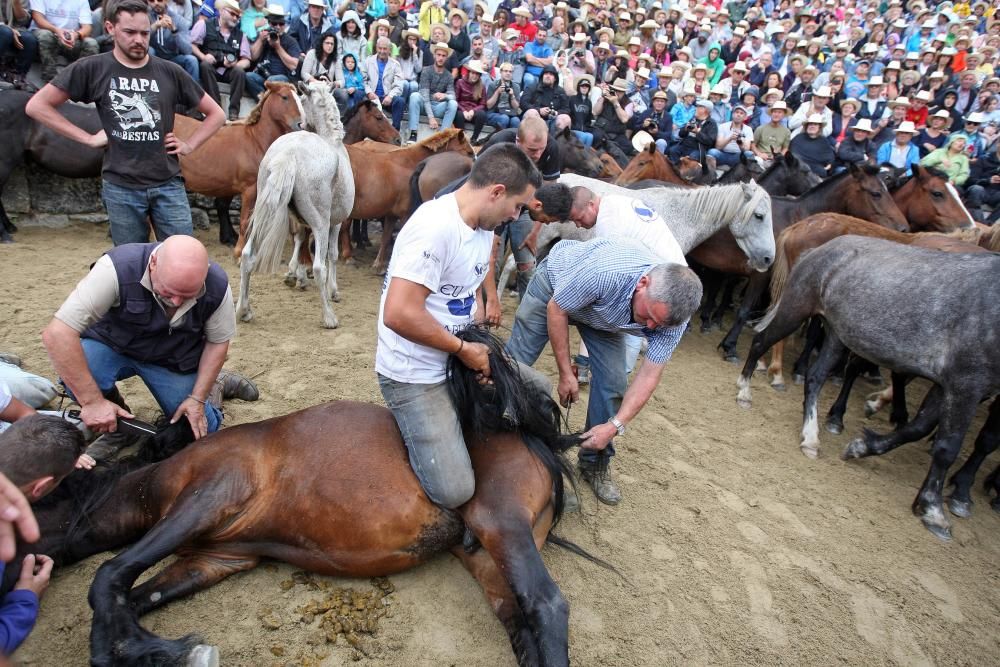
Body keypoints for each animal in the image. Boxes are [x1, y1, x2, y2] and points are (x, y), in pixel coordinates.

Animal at [23, 328, 596, 667]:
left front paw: (132, 648)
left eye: (36, 502)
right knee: (522, 622)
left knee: (546, 606)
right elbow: (136, 596)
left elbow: (108, 578)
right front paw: (148, 646)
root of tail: (530, 437)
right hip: (483, 554)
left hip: (501, 524)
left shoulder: (208, 496)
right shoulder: (216, 559)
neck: (162, 474)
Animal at [176, 81, 302, 248]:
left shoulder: (230, 186)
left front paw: (229, 238)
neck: (255, 141)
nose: (301, 124)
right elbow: (244, 222)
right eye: (285, 97)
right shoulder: (249, 190)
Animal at [235, 79, 356, 330]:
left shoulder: (299, 221)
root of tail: (290, 153)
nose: (298, 123)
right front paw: (333, 291)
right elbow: (332, 255)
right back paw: (329, 317)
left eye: (300, 99)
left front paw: (294, 275)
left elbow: (299, 242)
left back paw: (244, 310)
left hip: (264, 216)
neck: (332, 142)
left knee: (248, 255)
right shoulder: (335, 223)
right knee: (319, 266)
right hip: (321, 223)